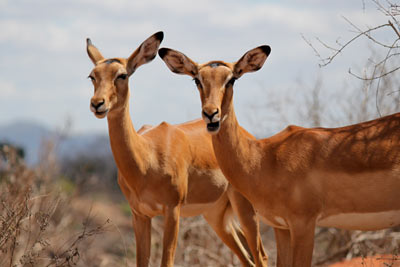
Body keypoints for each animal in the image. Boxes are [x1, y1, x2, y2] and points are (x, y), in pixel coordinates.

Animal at [85, 32, 268, 266]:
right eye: (92, 76)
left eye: (122, 75)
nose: (97, 103)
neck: (145, 159)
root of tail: (250, 137)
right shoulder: (140, 215)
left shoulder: (172, 211)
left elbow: (166, 261)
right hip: (216, 215)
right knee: (247, 258)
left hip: (244, 207)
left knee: (261, 255)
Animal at [159, 45, 400, 266]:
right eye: (197, 80)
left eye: (231, 79)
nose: (211, 115)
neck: (265, 158)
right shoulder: (280, 226)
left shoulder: (303, 223)